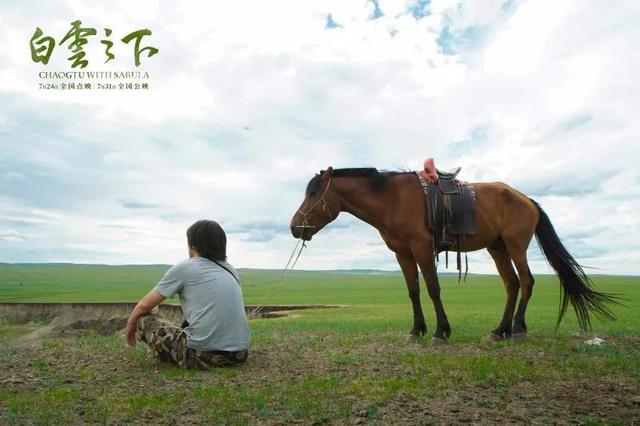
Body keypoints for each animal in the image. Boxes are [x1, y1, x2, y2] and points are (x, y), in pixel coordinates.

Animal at [292, 166, 620, 342]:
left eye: (313, 193)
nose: (295, 227)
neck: (393, 199)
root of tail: (527, 199)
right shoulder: (403, 254)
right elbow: (413, 291)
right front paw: (417, 330)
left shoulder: (422, 249)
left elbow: (433, 289)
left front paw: (441, 332)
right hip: (498, 247)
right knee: (512, 284)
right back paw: (499, 330)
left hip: (515, 245)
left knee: (526, 282)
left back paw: (517, 329)